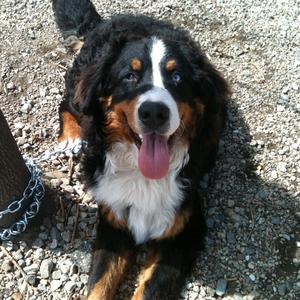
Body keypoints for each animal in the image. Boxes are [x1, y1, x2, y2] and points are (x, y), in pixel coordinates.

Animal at [52, 1, 230, 298]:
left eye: (177, 76)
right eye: (130, 76)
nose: (154, 112)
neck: (141, 175)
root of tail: (105, 23)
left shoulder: (182, 232)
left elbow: (150, 289)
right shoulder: (113, 224)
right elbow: (99, 286)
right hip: (79, 88)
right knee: (68, 103)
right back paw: (71, 137)